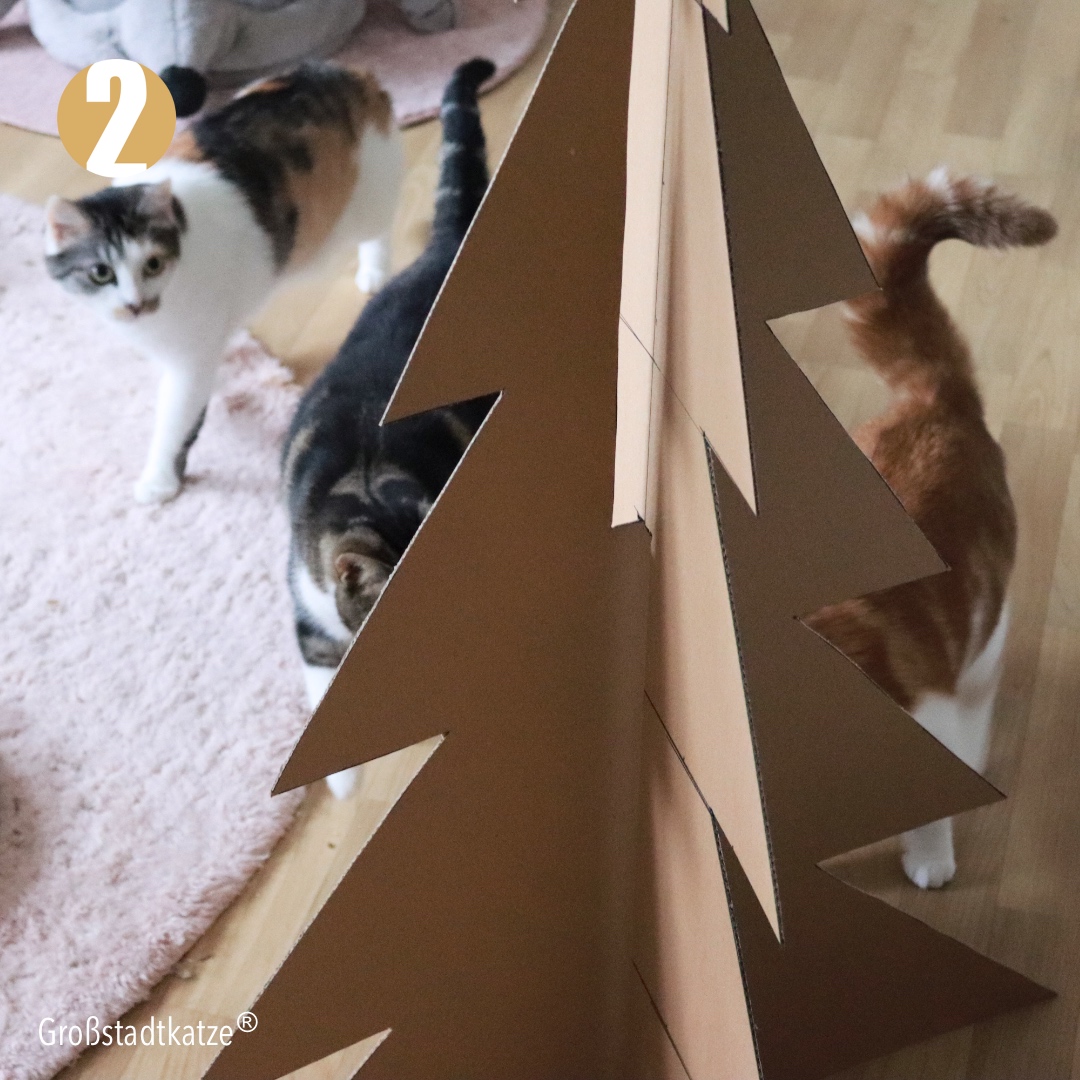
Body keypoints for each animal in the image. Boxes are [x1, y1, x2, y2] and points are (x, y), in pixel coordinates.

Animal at [44, 61, 403, 505]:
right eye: (100, 273)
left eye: (153, 264)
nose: (134, 304)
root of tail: (351, 72)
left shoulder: (190, 360)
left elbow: (175, 421)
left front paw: (159, 481)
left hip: (371, 197)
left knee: (379, 231)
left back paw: (374, 272)